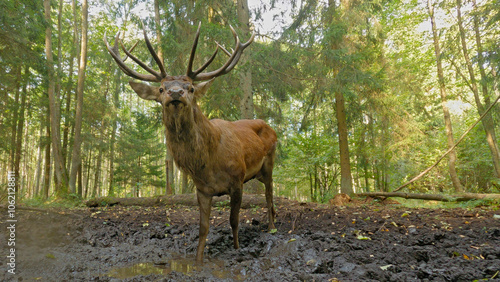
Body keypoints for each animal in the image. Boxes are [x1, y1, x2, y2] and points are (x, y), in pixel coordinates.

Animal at [104, 22, 278, 262]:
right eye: (161, 89)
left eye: (192, 88)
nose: (176, 92)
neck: (209, 163)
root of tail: (270, 127)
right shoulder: (202, 189)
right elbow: (203, 228)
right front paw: (198, 260)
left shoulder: (237, 180)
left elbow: (233, 221)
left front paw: (236, 249)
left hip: (269, 162)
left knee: (270, 196)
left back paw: (271, 227)